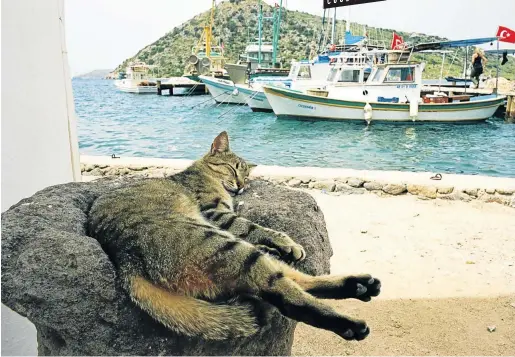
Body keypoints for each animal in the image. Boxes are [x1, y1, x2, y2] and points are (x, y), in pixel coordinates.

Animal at [88, 130, 380, 340]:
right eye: (233, 169)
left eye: (246, 175)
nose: (241, 186)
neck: (203, 172)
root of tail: (125, 260)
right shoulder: (216, 212)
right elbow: (255, 227)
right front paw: (286, 241)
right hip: (228, 248)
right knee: (283, 293)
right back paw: (348, 321)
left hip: (237, 251)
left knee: (292, 278)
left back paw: (358, 284)